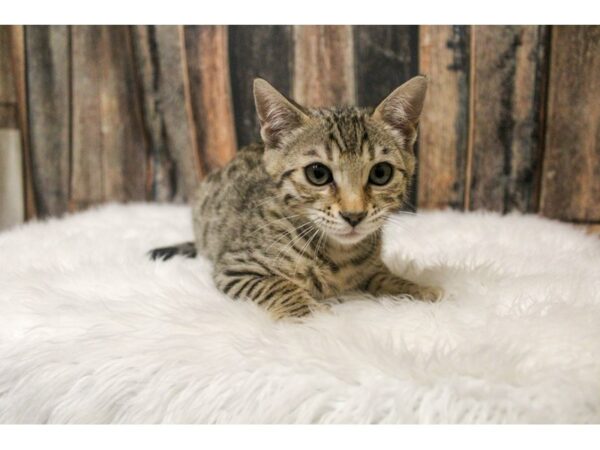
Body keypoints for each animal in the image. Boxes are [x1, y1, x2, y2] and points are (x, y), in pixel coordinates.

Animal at [150, 75, 440, 318]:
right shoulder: (235, 267)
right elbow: (277, 285)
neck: (338, 254)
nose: (354, 215)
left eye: (381, 173)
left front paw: (417, 289)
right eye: (317, 174)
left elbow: (384, 277)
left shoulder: (371, 267)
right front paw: (309, 316)